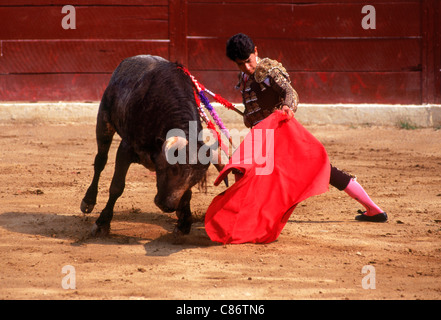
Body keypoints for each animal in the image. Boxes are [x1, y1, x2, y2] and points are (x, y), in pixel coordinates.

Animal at [80, 54, 217, 235]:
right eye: (173, 168)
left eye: (197, 178)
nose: (167, 206)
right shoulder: (125, 149)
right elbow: (117, 186)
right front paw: (102, 222)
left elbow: (187, 194)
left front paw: (184, 221)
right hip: (104, 121)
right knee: (100, 161)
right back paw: (88, 201)